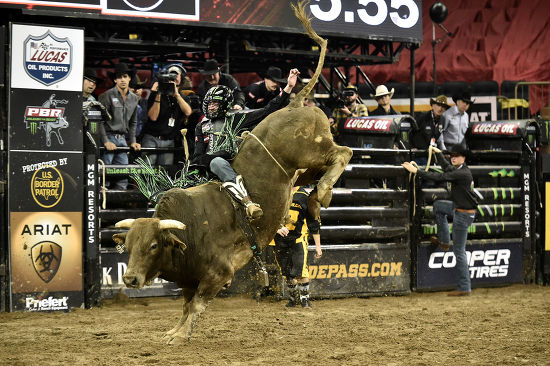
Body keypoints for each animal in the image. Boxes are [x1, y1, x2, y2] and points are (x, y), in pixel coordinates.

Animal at [113, 0, 354, 344]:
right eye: (129, 246)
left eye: (154, 245)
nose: (131, 279)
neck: (190, 226)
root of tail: (296, 104)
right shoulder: (189, 277)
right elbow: (186, 303)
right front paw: (174, 330)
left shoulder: (218, 273)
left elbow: (197, 304)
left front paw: (181, 335)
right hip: (303, 170)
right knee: (318, 178)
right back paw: (320, 198)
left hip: (313, 150)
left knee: (343, 153)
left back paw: (319, 192)